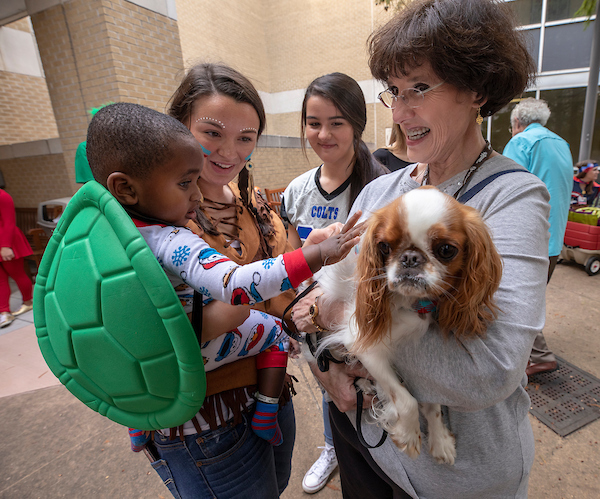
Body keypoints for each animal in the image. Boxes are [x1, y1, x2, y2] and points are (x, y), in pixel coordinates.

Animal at [312, 186, 504, 466]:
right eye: (383, 246)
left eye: (446, 249)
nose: (411, 258)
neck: (410, 303)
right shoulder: (364, 345)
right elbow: (406, 399)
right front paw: (410, 436)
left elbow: (432, 403)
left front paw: (440, 440)